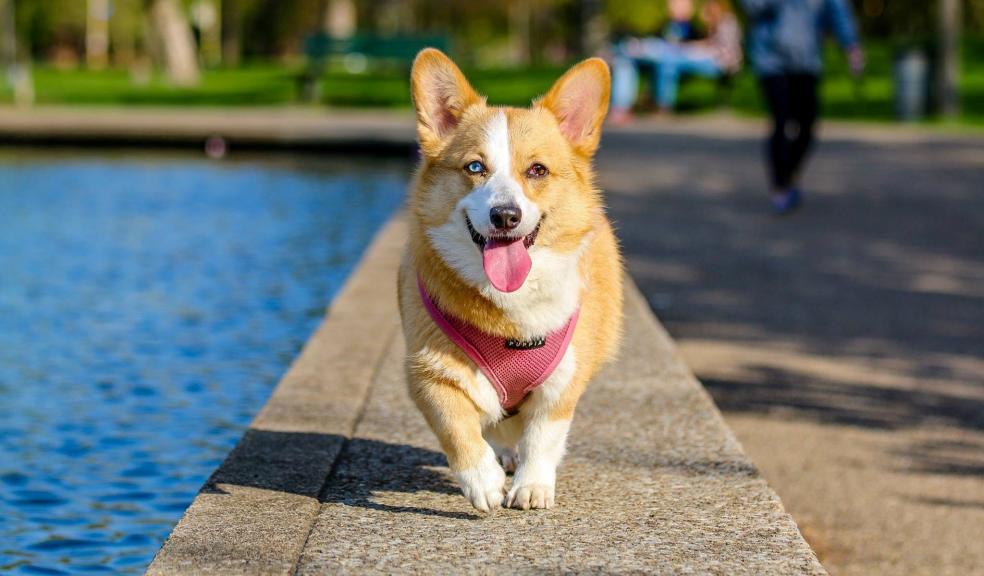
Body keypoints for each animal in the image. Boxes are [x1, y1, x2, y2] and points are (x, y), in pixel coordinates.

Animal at [394, 47, 620, 510]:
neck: (510, 309)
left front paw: (532, 486)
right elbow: (457, 427)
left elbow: (543, 437)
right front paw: (482, 481)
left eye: (537, 170)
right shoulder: (427, 372)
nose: (505, 216)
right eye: (475, 166)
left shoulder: (562, 382)